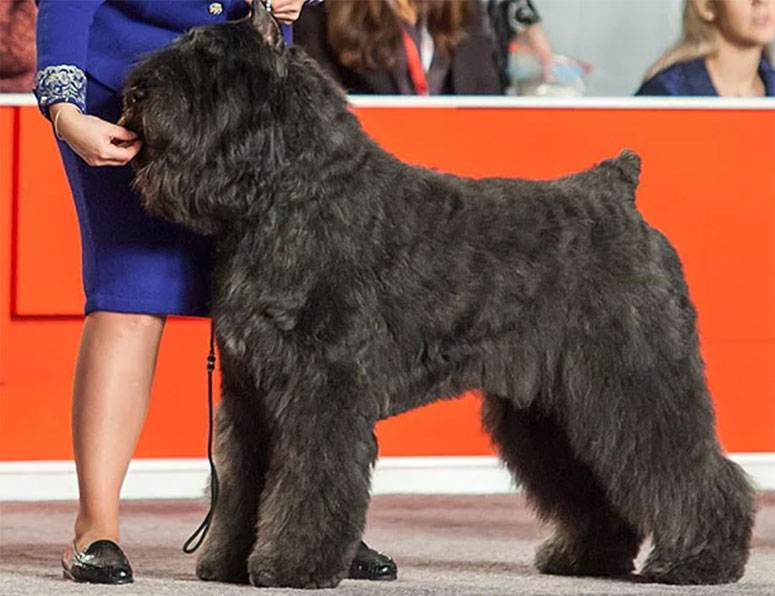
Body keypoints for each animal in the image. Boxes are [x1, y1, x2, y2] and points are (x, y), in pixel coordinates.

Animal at [119, 2, 752, 588]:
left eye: (208, 59)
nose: (134, 91)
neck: (292, 194)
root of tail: (620, 191)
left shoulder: (319, 391)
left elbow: (307, 483)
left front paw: (291, 565)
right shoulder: (249, 397)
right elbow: (239, 485)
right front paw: (228, 562)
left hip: (631, 382)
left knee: (692, 470)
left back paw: (701, 560)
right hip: (553, 409)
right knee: (595, 484)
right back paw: (586, 556)